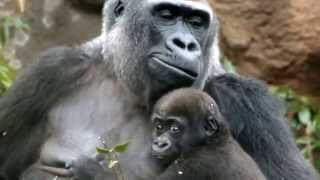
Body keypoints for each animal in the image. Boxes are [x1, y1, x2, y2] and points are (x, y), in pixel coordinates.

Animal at [0, 0, 316, 179]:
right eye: (166, 14)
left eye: (196, 22)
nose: (186, 44)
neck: (130, 90)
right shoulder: (50, 73)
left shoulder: (245, 100)